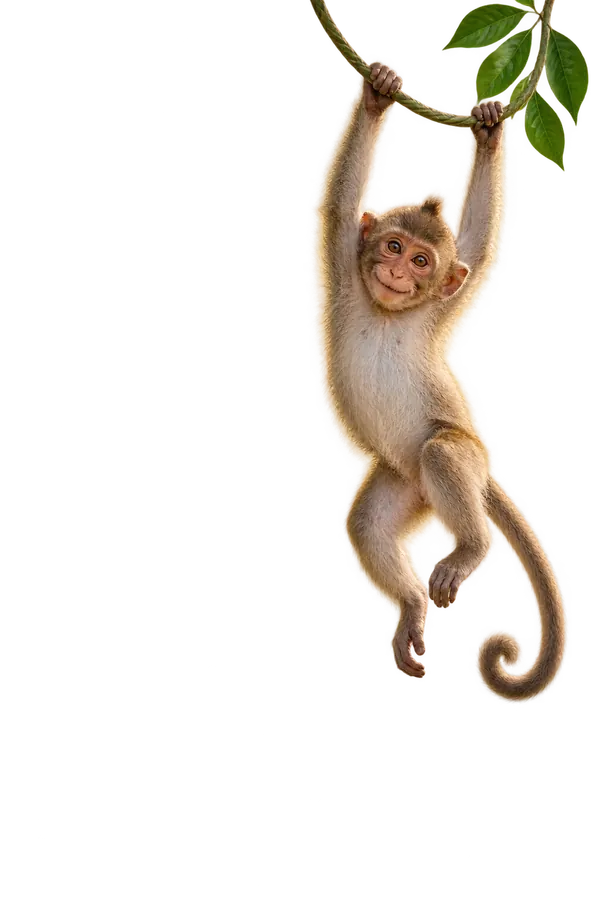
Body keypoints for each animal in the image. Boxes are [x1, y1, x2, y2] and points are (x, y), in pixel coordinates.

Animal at [310, 59, 569, 703]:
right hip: (407, 487)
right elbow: (339, 208)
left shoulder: (440, 303)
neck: (390, 312)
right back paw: (409, 609)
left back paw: (471, 548)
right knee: (369, 520)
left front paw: (490, 132)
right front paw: (378, 92)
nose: (398, 272)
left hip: (468, 462)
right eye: (393, 245)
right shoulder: (345, 262)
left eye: (422, 261)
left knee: (442, 450)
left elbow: (473, 247)